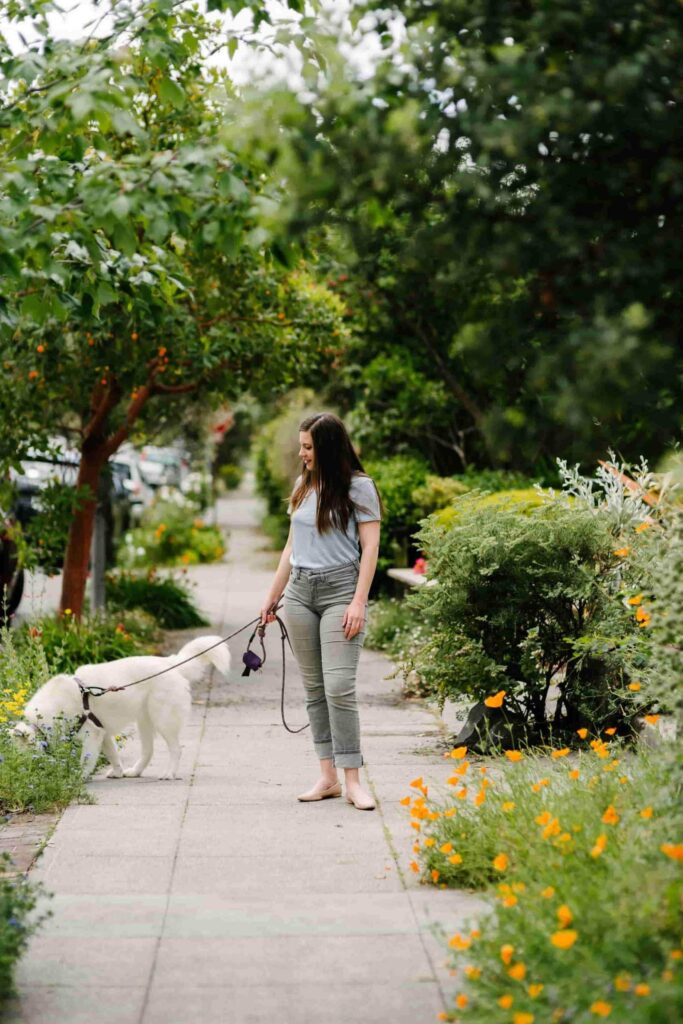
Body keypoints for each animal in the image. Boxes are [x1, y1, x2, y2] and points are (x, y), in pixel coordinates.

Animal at [12, 634, 232, 778]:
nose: (25, 774)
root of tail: (171, 664)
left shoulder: (92, 735)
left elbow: (86, 761)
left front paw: (76, 779)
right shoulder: (103, 734)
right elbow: (113, 755)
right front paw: (117, 772)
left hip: (163, 721)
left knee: (176, 749)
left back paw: (169, 774)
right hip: (144, 722)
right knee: (148, 751)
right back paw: (134, 772)